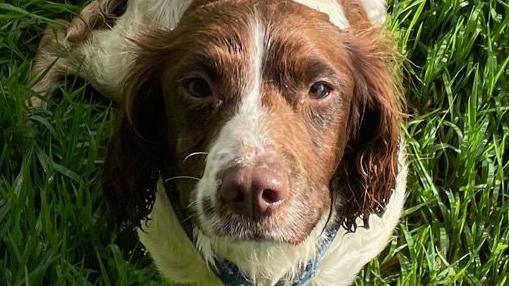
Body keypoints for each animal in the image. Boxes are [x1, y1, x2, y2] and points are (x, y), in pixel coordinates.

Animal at [32, 1, 404, 284]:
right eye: (198, 86)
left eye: (320, 88)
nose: (251, 191)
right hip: (118, 61)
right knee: (58, 37)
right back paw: (31, 110)